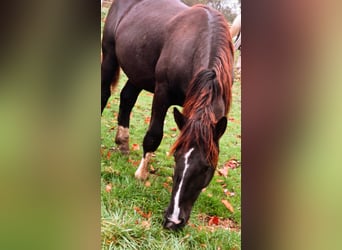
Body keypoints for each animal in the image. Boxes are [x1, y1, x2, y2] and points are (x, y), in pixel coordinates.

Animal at [101, 0, 234, 230]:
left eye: (207, 167)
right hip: (109, 56)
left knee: (127, 99)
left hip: (138, 73)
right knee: (104, 94)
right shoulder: (162, 93)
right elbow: (154, 135)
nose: (173, 221)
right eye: (177, 157)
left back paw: (123, 142)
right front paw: (141, 174)